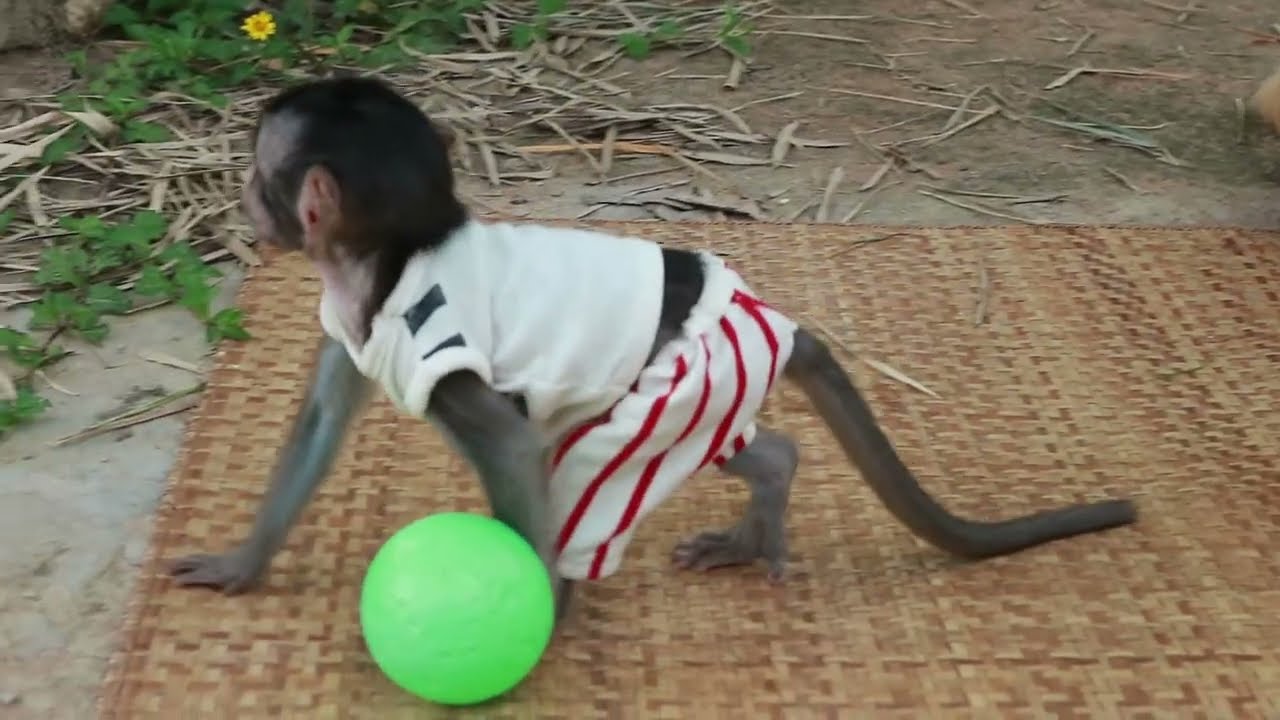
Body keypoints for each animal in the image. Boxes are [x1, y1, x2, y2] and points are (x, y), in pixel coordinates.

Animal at [169, 75, 1137, 622]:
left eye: (258, 174)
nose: (246, 199)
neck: (389, 261)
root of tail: (762, 309)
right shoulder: (360, 328)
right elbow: (321, 423)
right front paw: (242, 565)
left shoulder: (433, 338)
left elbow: (512, 446)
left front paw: (537, 624)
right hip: (713, 384)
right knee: (738, 443)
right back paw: (770, 482)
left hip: (682, 382)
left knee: (591, 457)